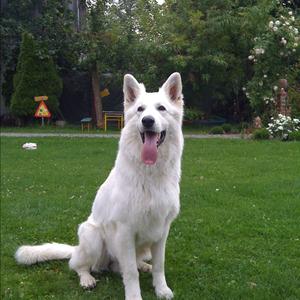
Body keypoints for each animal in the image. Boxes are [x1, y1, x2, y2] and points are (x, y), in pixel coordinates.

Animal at [16, 72, 185, 300]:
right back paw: (87, 279)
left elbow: (159, 265)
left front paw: (161, 289)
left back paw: (143, 266)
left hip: (144, 247)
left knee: (122, 266)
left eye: (161, 108)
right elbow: (130, 273)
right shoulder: (125, 231)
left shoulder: (162, 230)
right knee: (80, 265)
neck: (150, 175)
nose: (147, 121)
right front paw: (134, 296)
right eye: (140, 109)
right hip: (93, 236)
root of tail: (76, 248)